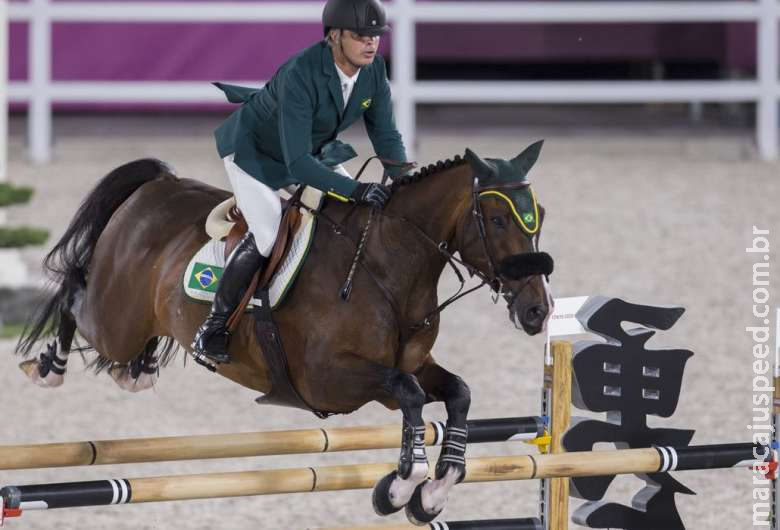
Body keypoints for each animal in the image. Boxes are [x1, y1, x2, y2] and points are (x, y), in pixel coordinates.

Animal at [15, 141, 552, 524]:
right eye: (497, 218)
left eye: (539, 218)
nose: (537, 312)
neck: (386, 268)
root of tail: (157, 186)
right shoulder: (331, 379)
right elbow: (412, 395)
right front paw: (402, 486)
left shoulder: (407, 367)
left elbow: (456, 393)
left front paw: (435, 491)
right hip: (114, 320)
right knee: (75, 292)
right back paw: (49, 366)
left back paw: (139, 370)